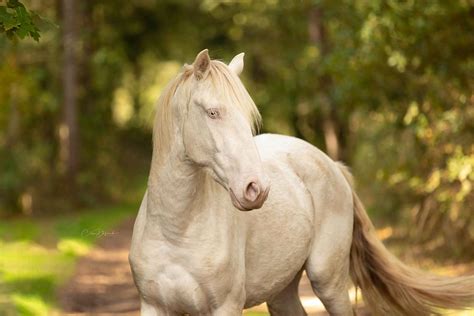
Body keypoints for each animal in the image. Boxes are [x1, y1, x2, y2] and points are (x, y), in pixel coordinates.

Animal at [128, 50, 472, 314]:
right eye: (213, 112)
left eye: (247, 118)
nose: (256, 189)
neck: (176, 232)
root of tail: (333, 167)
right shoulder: (154, 306)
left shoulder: (225, 306)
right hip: (281, 290)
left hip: (327, 281)